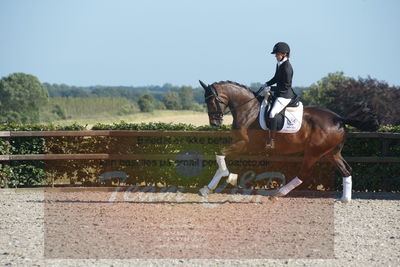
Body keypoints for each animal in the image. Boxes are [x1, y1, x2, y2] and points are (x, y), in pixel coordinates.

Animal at [198, 80, 380, 203]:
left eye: (212, 100)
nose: (214, 123)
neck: (248, 110)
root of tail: (340, 119)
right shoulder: (241, 145)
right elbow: (222, 156)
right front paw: (210, 187)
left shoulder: (244, 144)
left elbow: (220, 154)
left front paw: (222, 179)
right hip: (331, 153)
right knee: (346, 170)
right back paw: (345, 199)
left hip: (314, 153)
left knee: (303, 174)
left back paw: (277, 194)